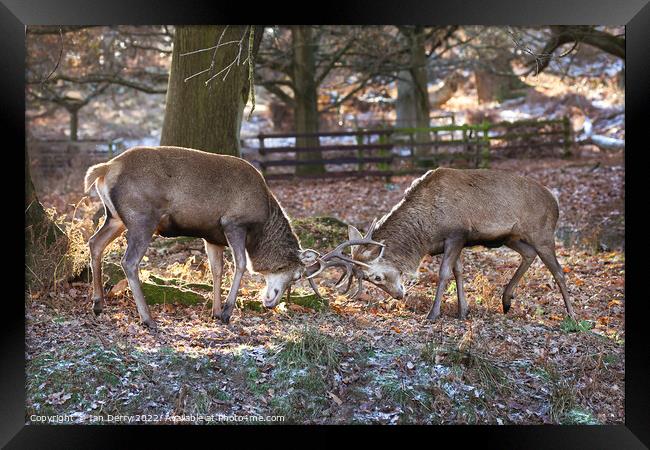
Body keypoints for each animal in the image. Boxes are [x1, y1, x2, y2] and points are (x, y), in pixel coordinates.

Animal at [84, 147, 346, 326]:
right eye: (297, 275)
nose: (272, 302)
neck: (261, 227)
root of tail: (105, 169)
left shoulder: (212, 237)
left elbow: (216, 270)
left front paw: (215, 311)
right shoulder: (234, 223)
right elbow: (241, 264)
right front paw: (227, 312)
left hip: (115, 217)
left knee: (94, 242)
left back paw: (98, 304)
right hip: (142, 218)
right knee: (129, 261)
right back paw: (147, 318)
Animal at [316, 167, 576, 322]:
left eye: (376, 277)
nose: (399, 295)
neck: (425, 233)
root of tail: (555, 200)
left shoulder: (456, 234)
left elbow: (444, 273)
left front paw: (433, 313)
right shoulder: (454, 242)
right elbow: (458, 271)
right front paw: (463, 311)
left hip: (542, 233)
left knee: (558, 271)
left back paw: (572, 315)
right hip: (510, 237)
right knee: (529, 254)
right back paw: (506, 300)